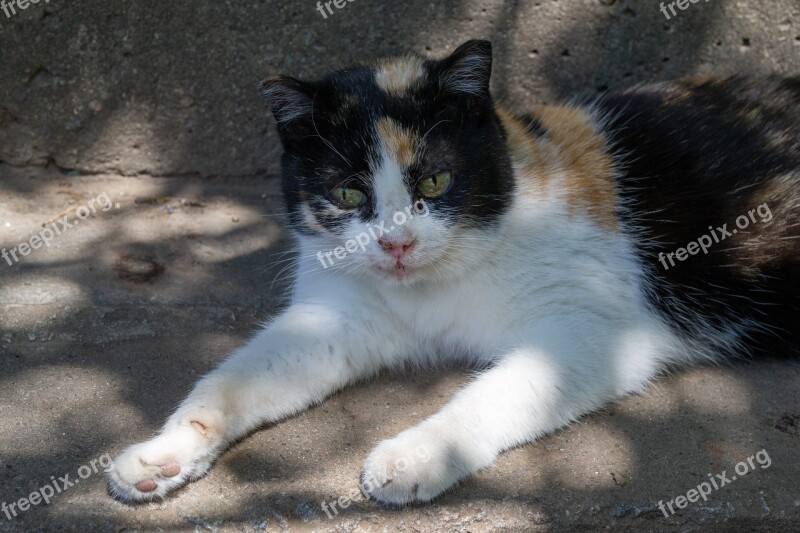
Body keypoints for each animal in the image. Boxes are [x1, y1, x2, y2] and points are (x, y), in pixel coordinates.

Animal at [108, 40, 800, 502]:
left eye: (435, 182)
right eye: (349, 194)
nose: (396, 242)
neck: (431, 290)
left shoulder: (594, 329)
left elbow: (498, 391)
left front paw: (416, 455)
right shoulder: (338, 318)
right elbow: (230, 381)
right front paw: (161, 454)